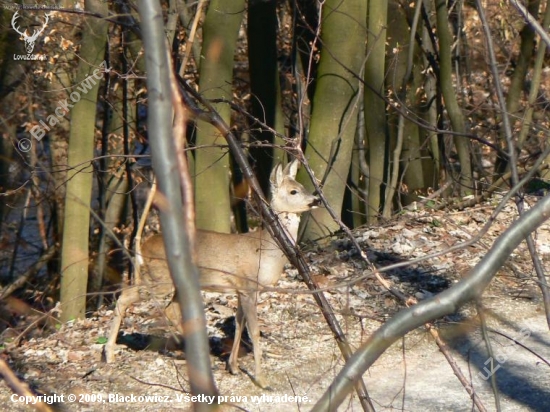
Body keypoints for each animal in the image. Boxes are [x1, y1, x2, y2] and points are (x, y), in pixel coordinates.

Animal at [104, 159, 320, 388]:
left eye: (302, 185)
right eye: (293, 191)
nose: (315, 199)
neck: (266, 251)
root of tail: (142, 245)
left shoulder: (241, 289)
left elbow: (239, 323)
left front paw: (233, 366)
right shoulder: (247, 285)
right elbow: (253, 331)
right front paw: (262, 380)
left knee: (170, 309)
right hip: (158, 279)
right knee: (125, 297)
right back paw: (109, 354)